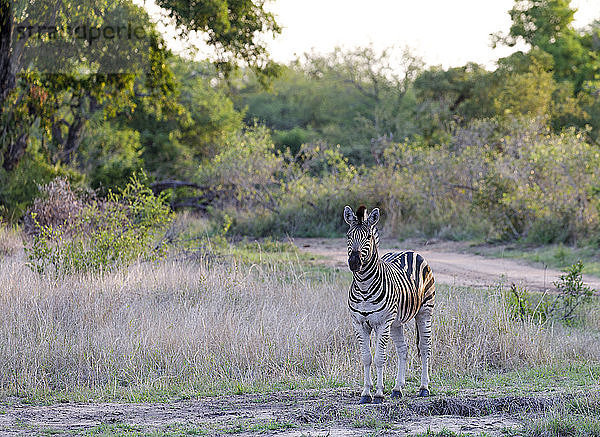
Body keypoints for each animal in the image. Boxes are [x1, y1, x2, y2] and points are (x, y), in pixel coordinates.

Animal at [342, 206, 436, 404]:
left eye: (368, 236)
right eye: (348, 235)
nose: (354, 262)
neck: (363, 286)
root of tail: (410, 251)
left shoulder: (382, 322)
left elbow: (379, 358)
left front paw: (378, 394)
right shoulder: (359, 323)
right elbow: (366, 357)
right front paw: (366, 393)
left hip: (425, 311)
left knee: (425, 347)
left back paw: (424, 388)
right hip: (396, 323)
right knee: (403, 350)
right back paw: (397, 389)